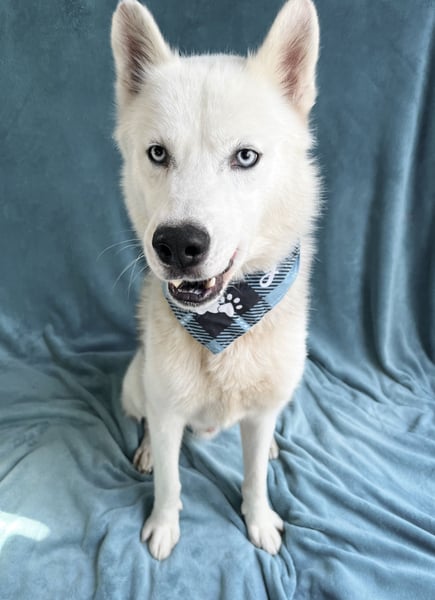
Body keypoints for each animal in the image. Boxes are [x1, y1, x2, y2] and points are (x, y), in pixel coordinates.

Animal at [111, 0, 320, 560]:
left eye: (245, 156)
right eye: (158, 153)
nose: (177, 245)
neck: (222, 327)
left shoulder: (262, 411)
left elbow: (253, 478)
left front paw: (260, 519)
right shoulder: (167, 413)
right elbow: (169, 481)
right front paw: (164, 525)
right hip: (136, 385)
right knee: (145, 422)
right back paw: (144, 451)